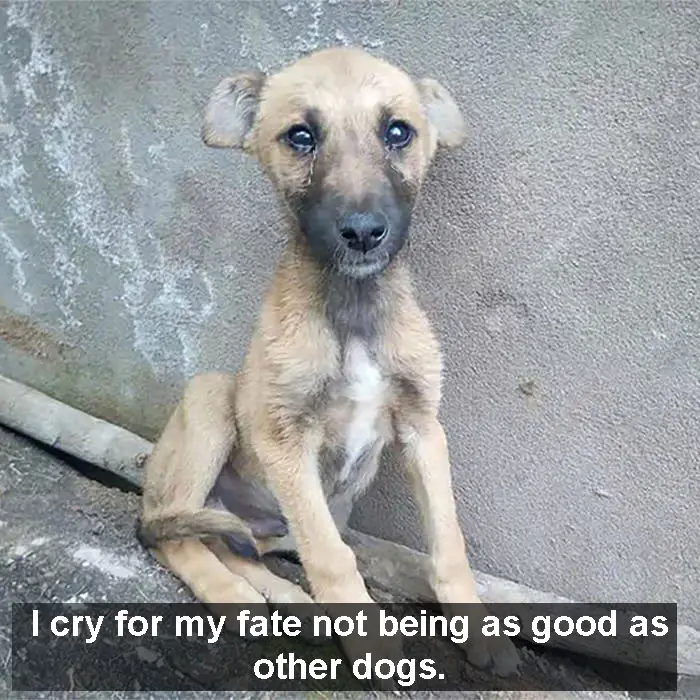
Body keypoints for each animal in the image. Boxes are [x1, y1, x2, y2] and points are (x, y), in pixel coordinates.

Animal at [138, 45, 520, 680]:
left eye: (398, 131)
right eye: (300, 136)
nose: (363, 233)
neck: (354, 305)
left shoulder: (423, 427)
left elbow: (447, 542)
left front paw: (481, 633)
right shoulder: (286, 440)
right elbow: (332, 555)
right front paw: (371, 646)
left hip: (264, 524)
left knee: (235, 543)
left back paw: (288, 601)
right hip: (209, 400)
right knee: (174, 537)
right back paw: (236, 598)